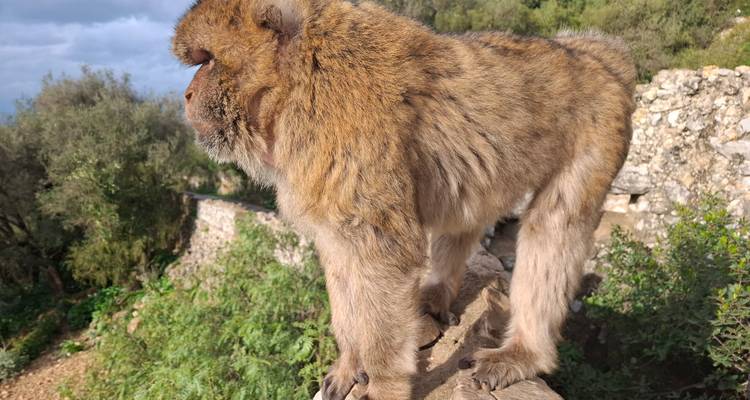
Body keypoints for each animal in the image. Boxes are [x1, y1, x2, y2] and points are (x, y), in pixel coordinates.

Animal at [172, 0, 635, 398]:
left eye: (207, 61)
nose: (187, 95)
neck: (300, 79)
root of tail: (599, 55)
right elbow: (339, 252)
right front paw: (349, 360)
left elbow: (384, 256)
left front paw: (384, 384)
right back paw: (438, 293)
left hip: (599, 133)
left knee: (555, 226)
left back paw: (525, 352)